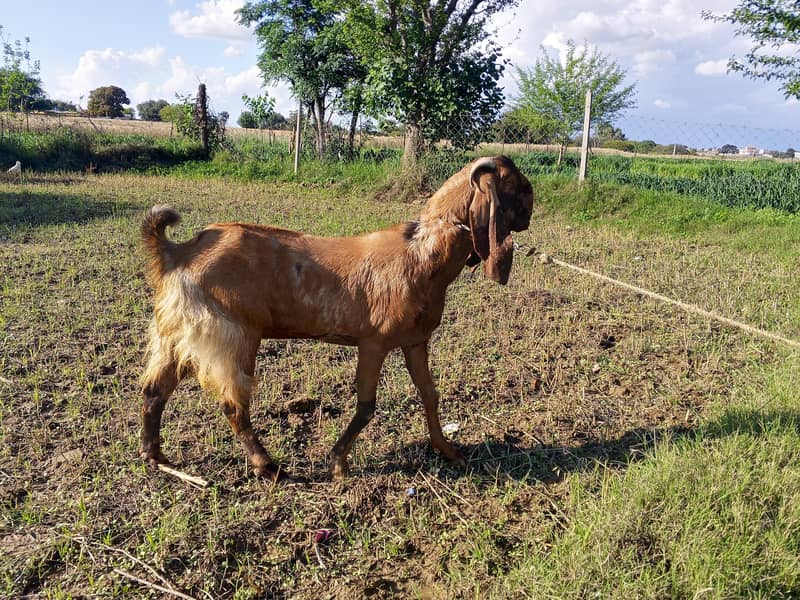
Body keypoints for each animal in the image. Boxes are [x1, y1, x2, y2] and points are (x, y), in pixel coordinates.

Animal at [140, 156, 533, 481]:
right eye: (516, 185)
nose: (531, 209)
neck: (422, 252)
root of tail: (176, 252)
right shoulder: (374, 342)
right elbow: (367, 406)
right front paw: (338, 462)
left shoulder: (414, 341)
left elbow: (429, 394)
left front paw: (448, 450)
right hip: (230, 335)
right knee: (232, 405)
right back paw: (268, 467)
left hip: (177, 334)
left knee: (155, 390)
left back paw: (155, 456)